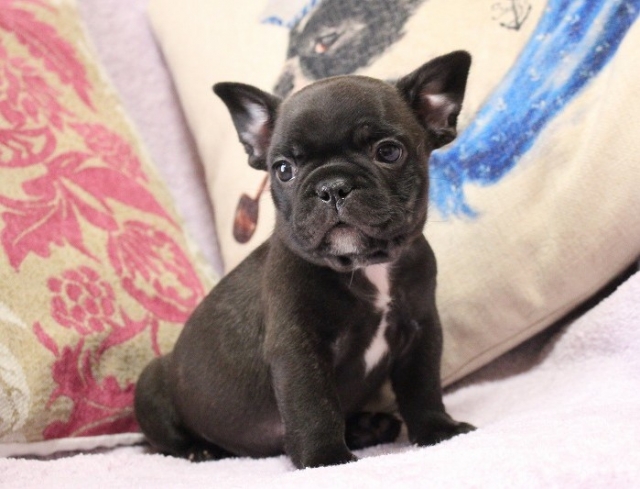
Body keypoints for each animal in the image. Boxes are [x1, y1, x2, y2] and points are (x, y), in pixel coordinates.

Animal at [134, 50, 474, 469]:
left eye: (388, 152)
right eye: (283, 169)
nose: (332, 187)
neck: (365, 265)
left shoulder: (420, 328)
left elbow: (423, 387)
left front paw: (438, 430)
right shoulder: (298, 346)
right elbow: (313, 406)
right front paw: (325, 459)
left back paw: (368, 427)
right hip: (151, 383)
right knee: (168, 438)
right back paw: (200, 450)